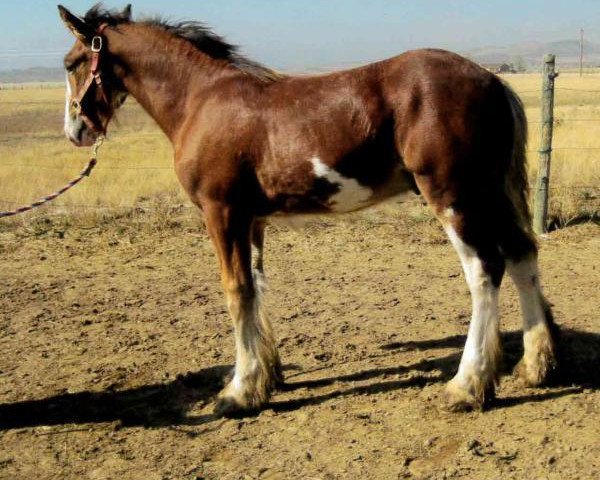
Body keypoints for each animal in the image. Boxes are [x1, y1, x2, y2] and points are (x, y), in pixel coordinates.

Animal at [58, 4, 560, 416]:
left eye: (72, 63)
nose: (75, 130)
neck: (200, 101)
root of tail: (493, 80)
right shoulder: (253, 220)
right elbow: (257, 287)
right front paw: (268, 376)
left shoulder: (221, 213)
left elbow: (236, 290)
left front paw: (239, 391)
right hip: (490, 193)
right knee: (522, 255)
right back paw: (536, 365)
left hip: (454, 196)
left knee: (485, 270)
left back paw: (467, 386)